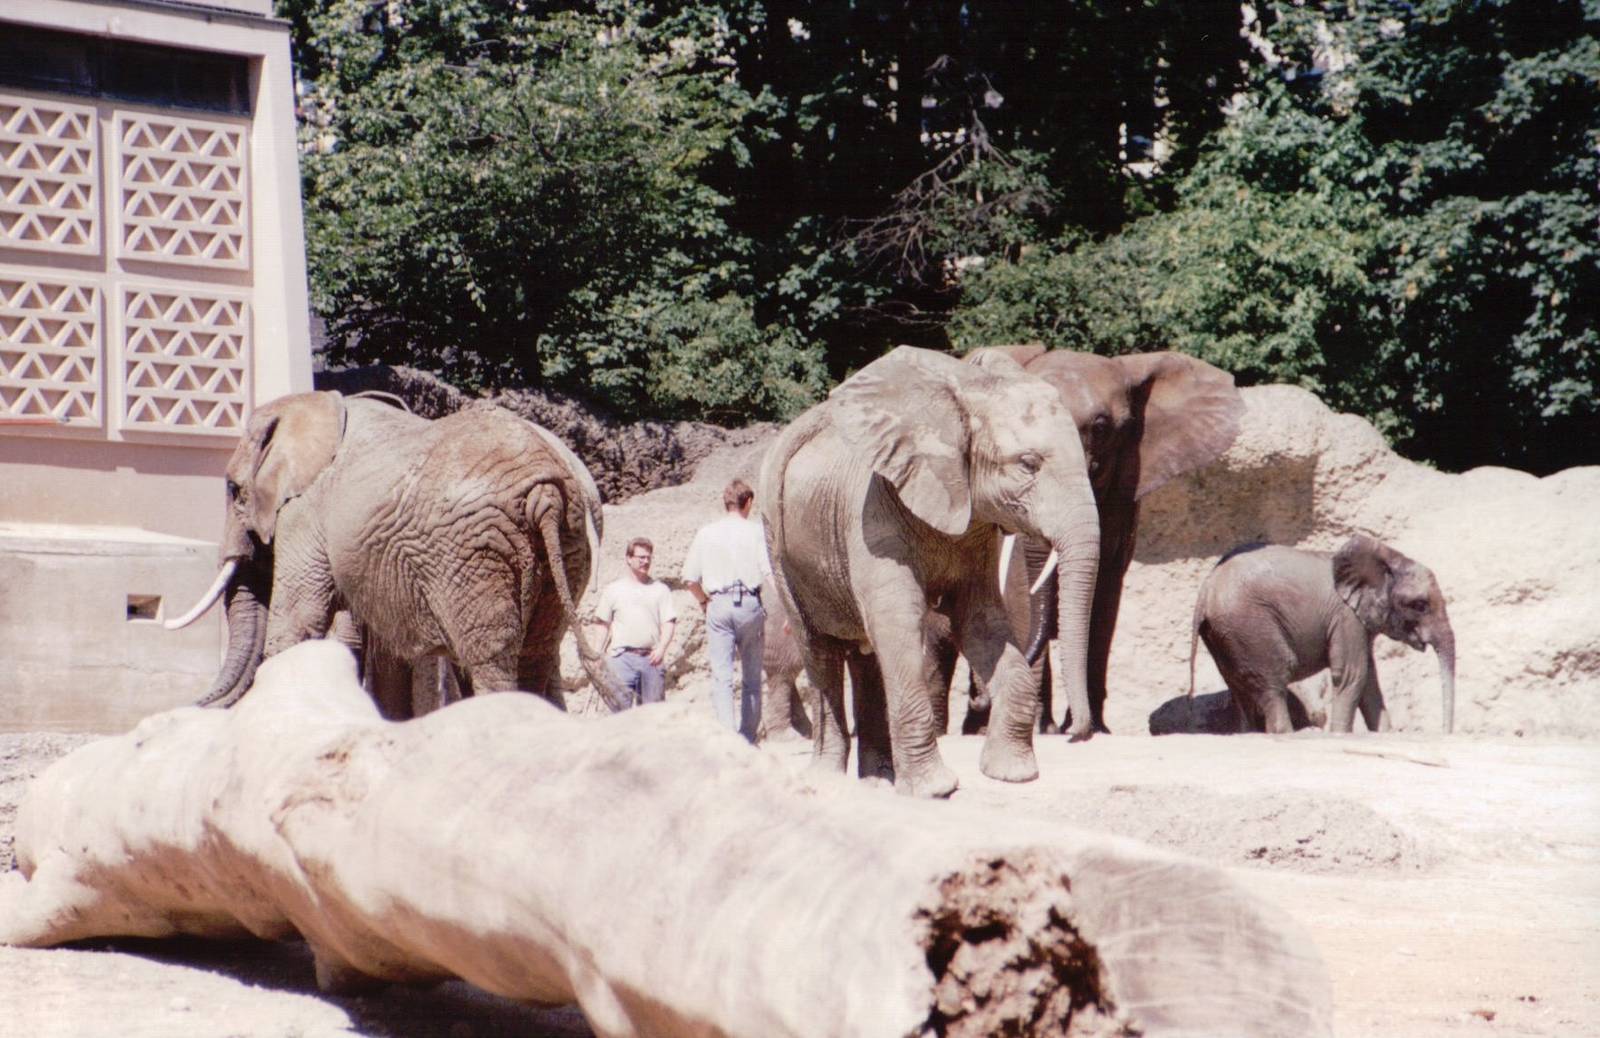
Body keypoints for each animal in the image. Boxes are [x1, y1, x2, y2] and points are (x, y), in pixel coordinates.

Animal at [165, 391, 617, 713]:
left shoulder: (305, 513)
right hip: (566, 545)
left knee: (490, 659)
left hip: (474, 553)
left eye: (234, 491)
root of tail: (546, 493)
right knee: (534, 655)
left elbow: (296, 623)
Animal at [760, 345, 1101, 797]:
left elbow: (981, 621)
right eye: (1028, 464)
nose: (1075, 733)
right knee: (820, 649)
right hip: (778, 542)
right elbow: (899, 621)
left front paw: (1012, 774)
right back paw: (829, 779)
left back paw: (879, 781)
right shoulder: (872, 509)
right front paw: (935, 790)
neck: (966, 394)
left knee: (866, 656)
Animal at [959, 345, 1244, 737]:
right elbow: (1021, 592)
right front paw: (1041, 729)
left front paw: (1094, 729)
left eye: (1100, 428)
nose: (983, 698)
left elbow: (1103, 598)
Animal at [1188, 536, 1457, 734]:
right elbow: (1352, 674)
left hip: (1225, 633)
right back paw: (1286, 734)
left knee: (1237, 687)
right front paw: (1340, 735)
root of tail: (1206, 590)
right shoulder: (1346, 617)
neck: (1386, 560)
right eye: (1419, 605)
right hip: (1250, 625)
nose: (1444, 733)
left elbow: (1369, 680)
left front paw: (1385, 735)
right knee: (1273, 681)